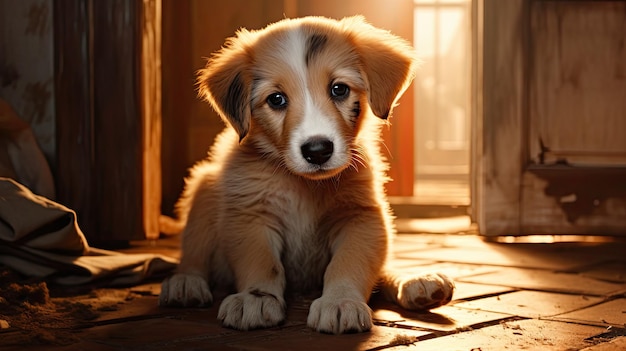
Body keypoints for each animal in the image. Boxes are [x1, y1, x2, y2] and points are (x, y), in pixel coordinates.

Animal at [160, 15, 454, 336]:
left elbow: (349, 262)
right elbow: (261, 262)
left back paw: (416, 283)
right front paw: (256, 297)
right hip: (206, 187)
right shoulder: (251, 214)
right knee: (195, 252)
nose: (317, 150)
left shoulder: (360, 215)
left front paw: (340, 301)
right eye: (276, 99)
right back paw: (185, 282)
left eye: (339, 89)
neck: (305, 187)